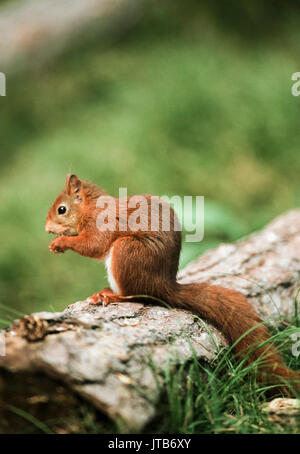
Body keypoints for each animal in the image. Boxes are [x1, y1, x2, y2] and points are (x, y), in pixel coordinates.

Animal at [45, 174, 298, 394]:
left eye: (61, 209)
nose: (47, 228)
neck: (90, 208)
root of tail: (165, 286)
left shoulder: (100, 225)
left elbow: (93, 245)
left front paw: (60, 243)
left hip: (127, 252)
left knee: (137, 295)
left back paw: (110, 295)